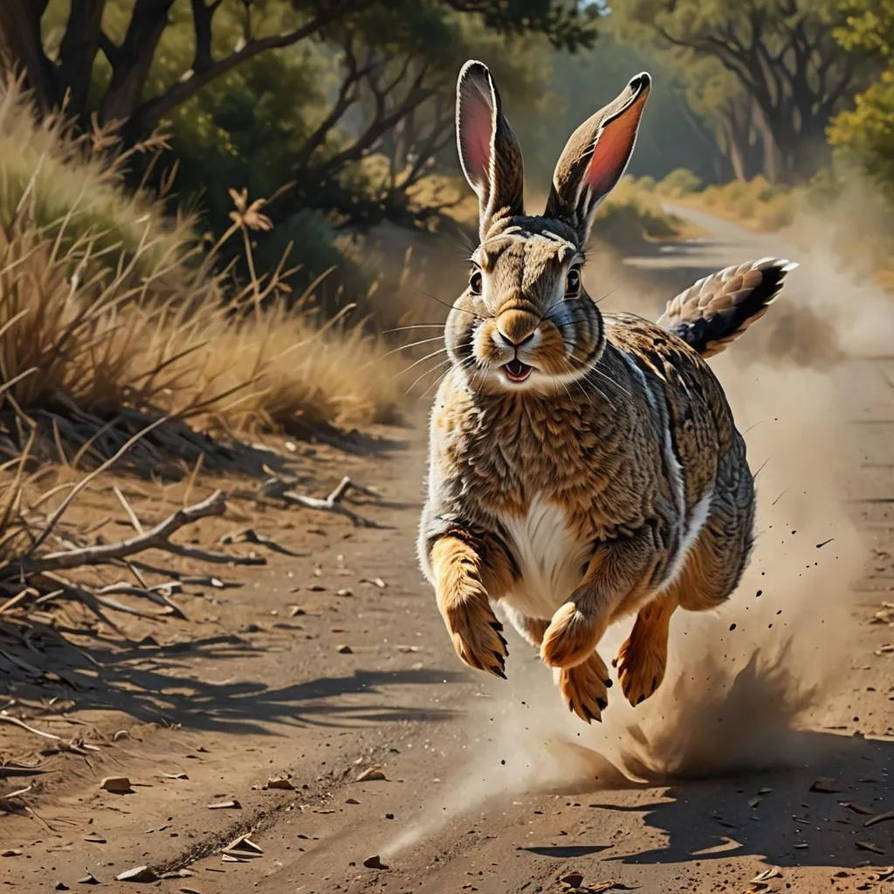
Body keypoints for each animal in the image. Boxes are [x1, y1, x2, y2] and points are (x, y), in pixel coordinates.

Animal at [417, 60, 796, 723]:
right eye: (474, 276)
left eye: (572, 278)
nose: (515, 331)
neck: (528, 400)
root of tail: (676, 336)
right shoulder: (462, 528)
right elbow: (456, 577)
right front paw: (482, 649)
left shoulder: (637, 535)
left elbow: (596, 601)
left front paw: (563, 649)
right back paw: (589, 684)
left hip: (716, 552)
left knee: (670, 596)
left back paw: (633, 675)